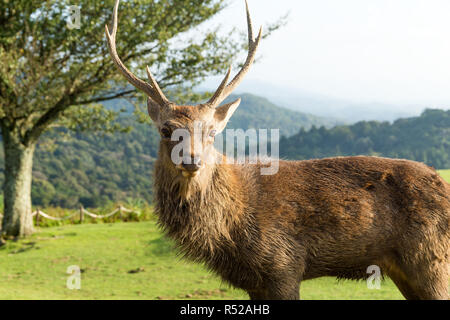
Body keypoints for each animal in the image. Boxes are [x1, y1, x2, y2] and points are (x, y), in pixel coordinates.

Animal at [106, 0, 450, 300]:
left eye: (213, 132)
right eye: (166, 130)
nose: (192, 161)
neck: (232, 230)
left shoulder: (284, 264)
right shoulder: (253, 282)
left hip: (432, 259)